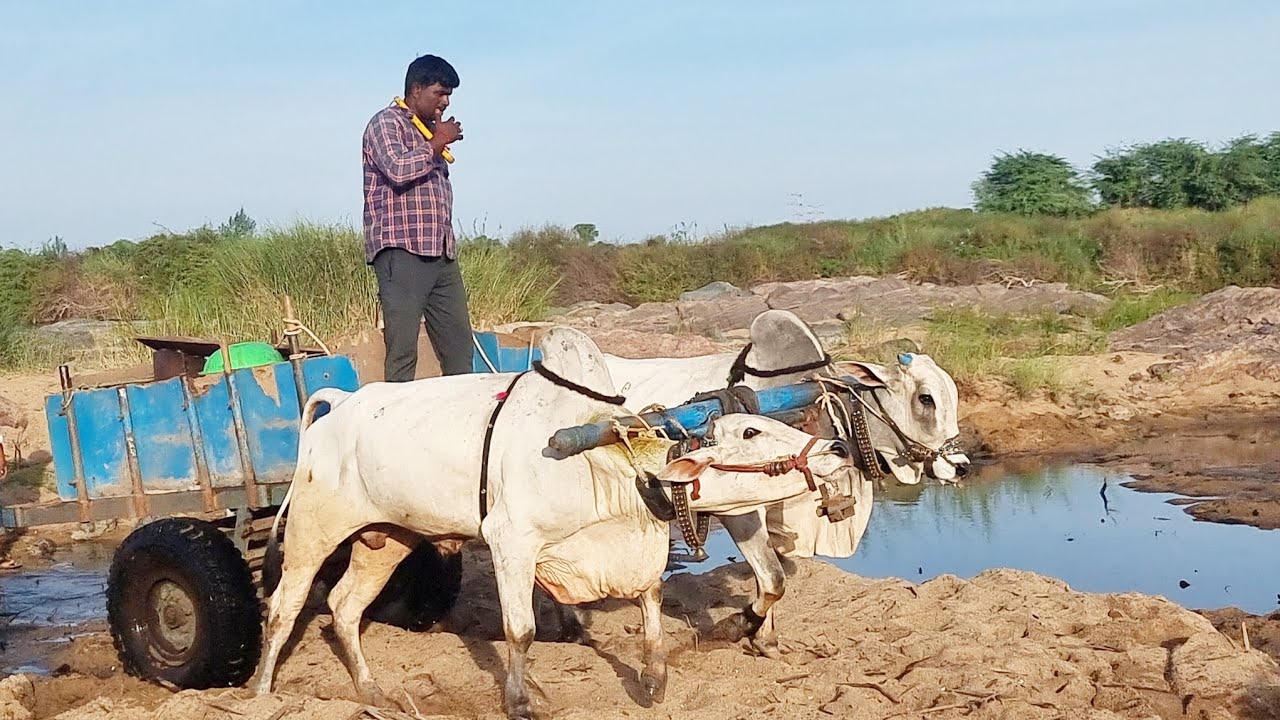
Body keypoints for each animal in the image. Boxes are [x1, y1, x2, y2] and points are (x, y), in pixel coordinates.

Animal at [252, 327, 853, 719]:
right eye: (751, 432)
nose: (836, 449)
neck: (602, 460)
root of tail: (341, 403)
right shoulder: (511, 542)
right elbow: (520, 630)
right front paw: (521, 699)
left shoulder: (628, 550)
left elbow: (651, 600)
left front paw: (654, 677)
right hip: (312, 530)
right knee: (284, 608)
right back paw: (260, 692)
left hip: (387, 540)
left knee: (343, 607)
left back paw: (372, 691)